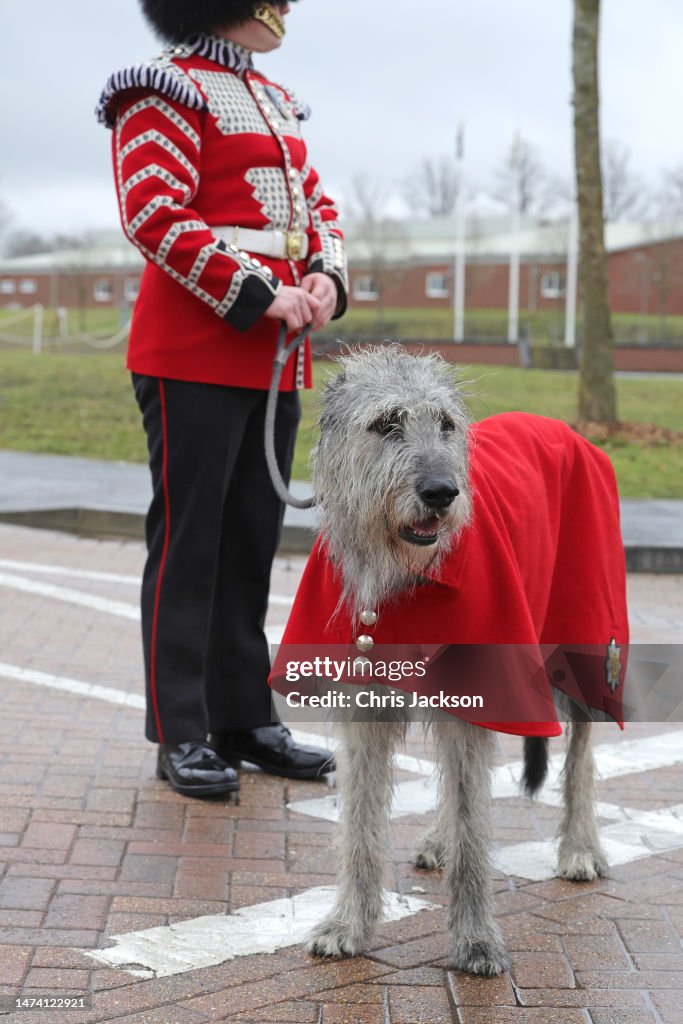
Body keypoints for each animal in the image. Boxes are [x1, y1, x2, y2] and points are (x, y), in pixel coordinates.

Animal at [282, 346, 626, 974]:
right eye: (386, 423)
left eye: (446, 424)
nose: (443, 492)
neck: (406, 578)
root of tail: (564, 428)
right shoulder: (366, 703)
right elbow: (361, 821)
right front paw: (349, 925)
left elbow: (474, 825)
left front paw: (476, 938)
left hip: (590, 633)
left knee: (582, 754)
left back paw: (580, 846)